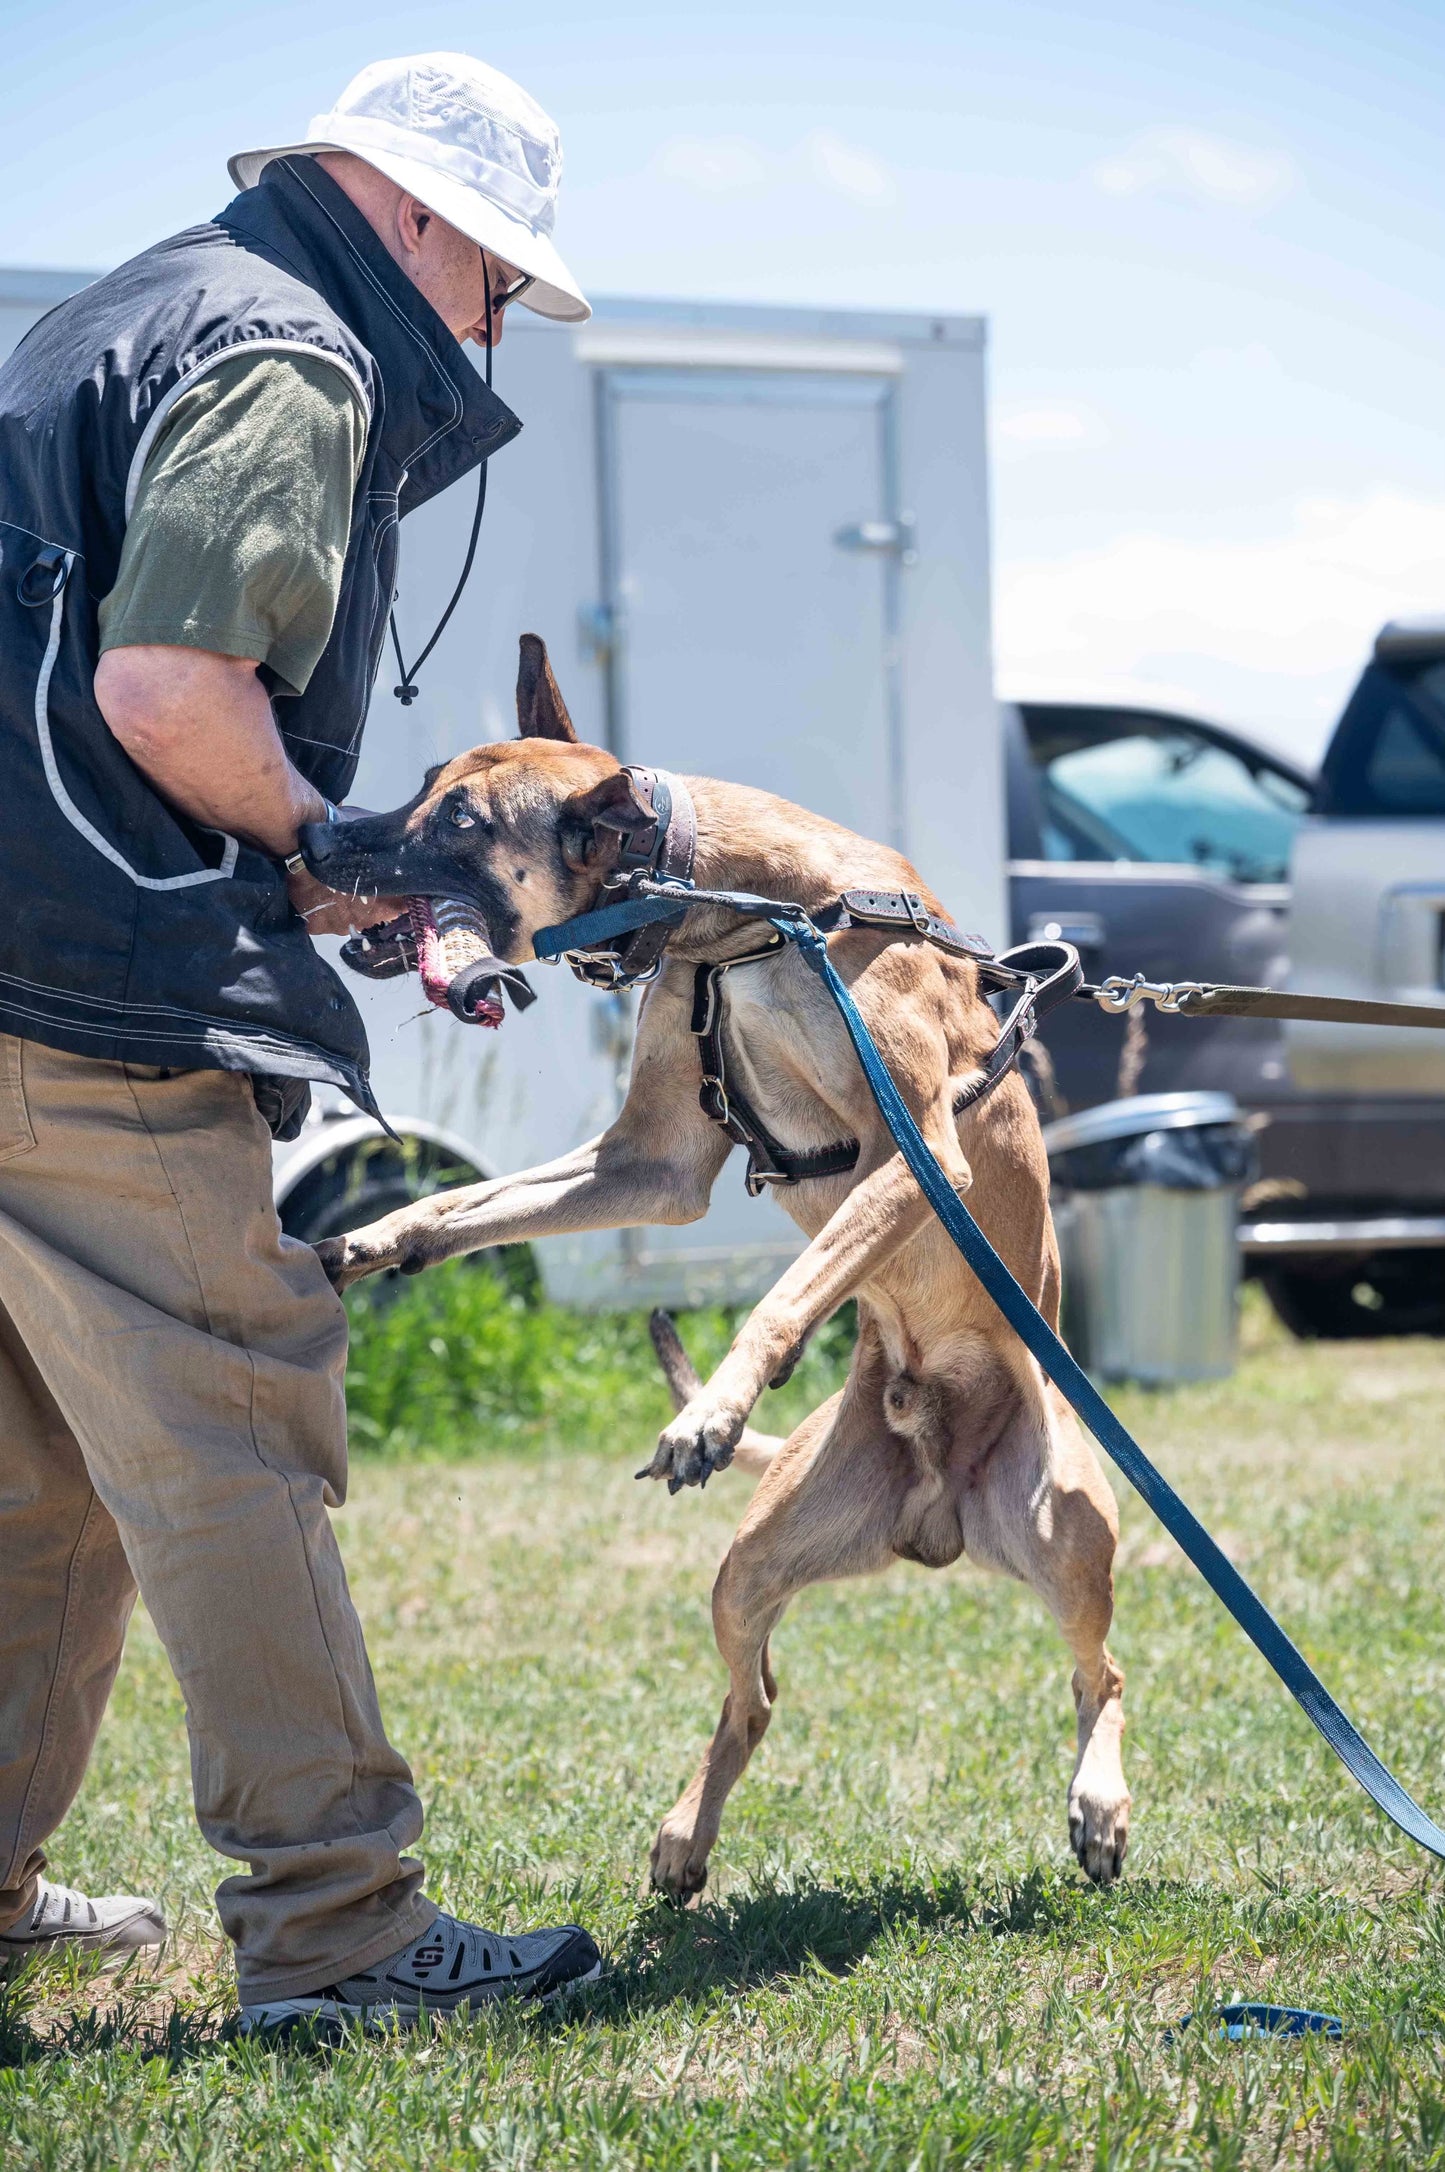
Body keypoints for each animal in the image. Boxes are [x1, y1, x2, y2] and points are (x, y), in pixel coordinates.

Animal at [306, 634, 1129, 1893]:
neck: (739, 916)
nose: (313, 838)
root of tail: (939, 1508)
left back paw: (1097, 1803)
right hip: (749, 1566)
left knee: (1101, 1674)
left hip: (1071, 1523)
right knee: (753, 1702)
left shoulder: (914, 1149)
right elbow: (477, 1201)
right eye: (424, 790)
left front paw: (716, 1409)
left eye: (458, 822)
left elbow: (784, 1297)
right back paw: (688, 1833)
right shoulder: (650, 1164)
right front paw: (380, 1238)